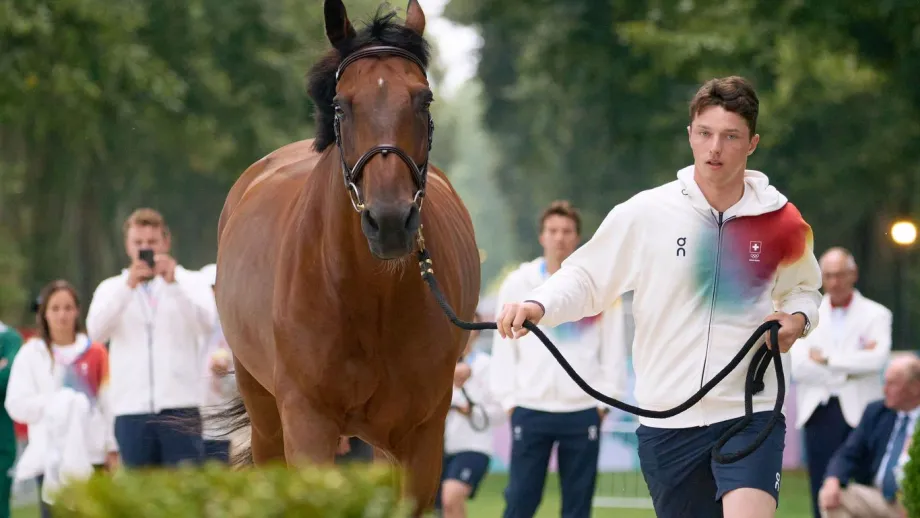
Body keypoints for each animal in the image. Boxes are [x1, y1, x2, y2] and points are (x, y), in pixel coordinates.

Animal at [211, 0, 478, 516]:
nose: (390, 221)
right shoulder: (307, 424)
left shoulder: (420, 437)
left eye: (424, 100)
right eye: (341, 105)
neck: (366, 297)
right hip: (264, 413)